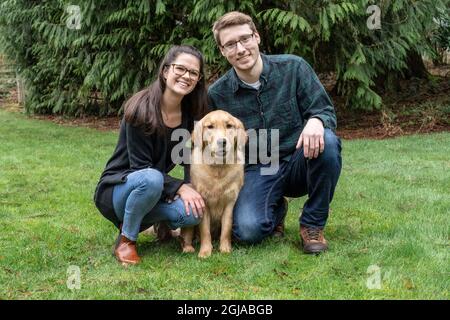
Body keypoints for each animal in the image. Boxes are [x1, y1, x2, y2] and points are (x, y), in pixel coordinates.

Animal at [181, 110, 248, 258]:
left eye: (229, 126)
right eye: (210, 127)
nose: (222, 142)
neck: (218, 168)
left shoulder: (230, 202)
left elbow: (226, 229)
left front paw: (225, 249)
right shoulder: (203, 203)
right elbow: (205, 231)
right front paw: (205, 251)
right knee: (185, 237)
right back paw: (188, 248)